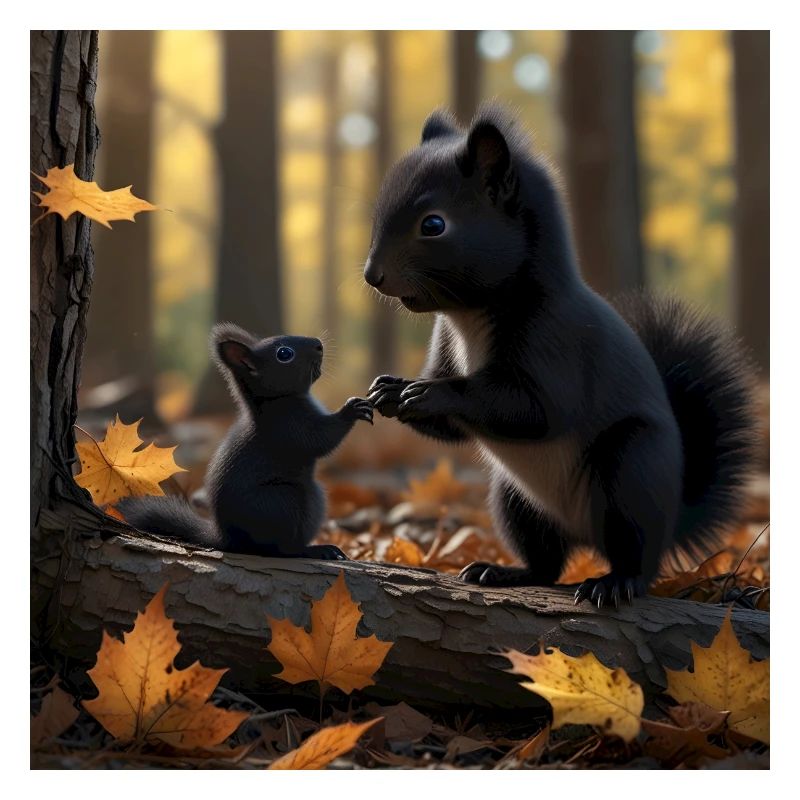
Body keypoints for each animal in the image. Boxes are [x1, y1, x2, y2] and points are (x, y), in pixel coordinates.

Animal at [117, 323, 374, 560]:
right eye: (284, 354)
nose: (319, 344)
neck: (273, 401)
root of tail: (227, 539)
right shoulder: (288, 426)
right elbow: (320, 439)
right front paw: (352, 409)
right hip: (282, 503)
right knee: (282, 549)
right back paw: (316, 550)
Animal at [364, 104, 758, 607]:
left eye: (433, 225)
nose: (372, 275)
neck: (470, 316)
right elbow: (450, 430)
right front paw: (390, 389)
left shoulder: (556, 344)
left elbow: (534, 410)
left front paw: (430, 394)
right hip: (515, 501)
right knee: (546, 563)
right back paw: (503, 571)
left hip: (630, 470)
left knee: (636, 557)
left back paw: (612, 583)